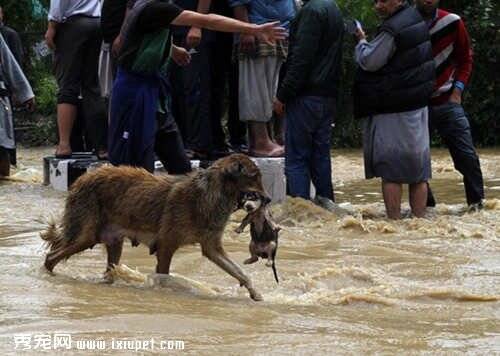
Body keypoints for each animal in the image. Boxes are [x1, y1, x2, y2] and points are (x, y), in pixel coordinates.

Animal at [42, 154, 270, 300]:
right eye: (254, 176)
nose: (268, 199)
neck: (211, 194)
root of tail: (82, 178)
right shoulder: (166, 247)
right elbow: (164, 276)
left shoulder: (212, 248)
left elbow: (240, 272)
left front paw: (255, 293)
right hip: (86, 236)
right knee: (51, 257)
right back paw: (49, 278)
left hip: (113, 243)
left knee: (108, 270)